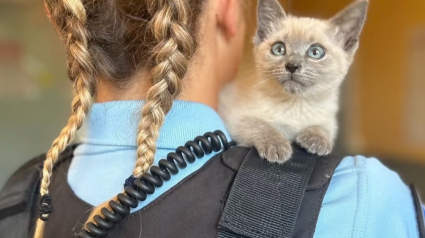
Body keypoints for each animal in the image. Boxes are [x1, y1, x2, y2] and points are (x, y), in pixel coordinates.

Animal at [219, 0, 368, 164]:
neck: (296, 104)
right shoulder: (234, 116)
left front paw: (316, 139)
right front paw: (276, 145)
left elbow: (325, 127)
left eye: (316, 52)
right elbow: (258, 123)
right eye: (278, 49)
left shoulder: (329, 119)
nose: (292, 65)